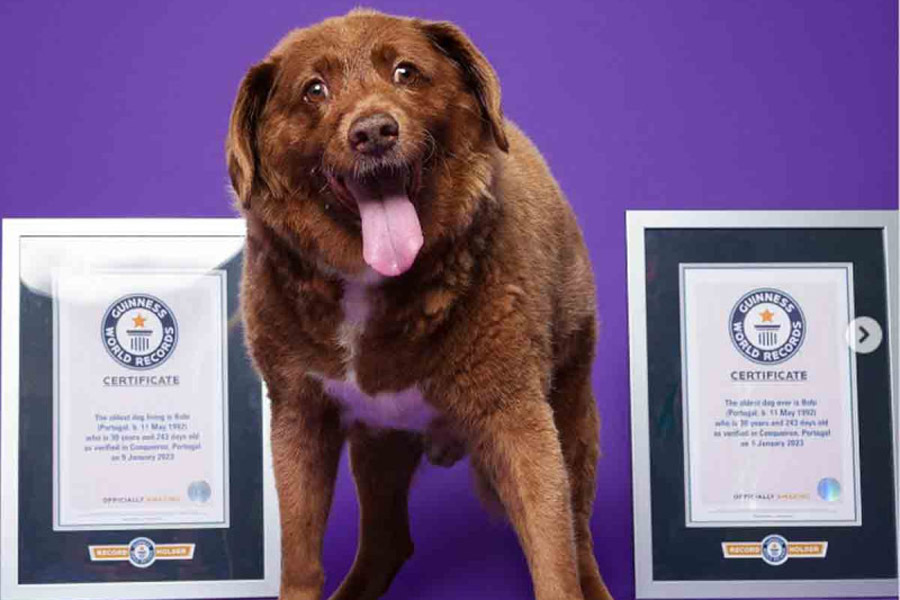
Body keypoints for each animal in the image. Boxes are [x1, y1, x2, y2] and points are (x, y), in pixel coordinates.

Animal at [227, 9, 612, 600]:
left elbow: (554, 555)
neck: (370, 281)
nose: (373, 131)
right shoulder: (299, 414)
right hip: (378, 444)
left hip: (572, 406)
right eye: (314, 89)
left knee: (580, 534)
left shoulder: (517, 416)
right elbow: (300, 559)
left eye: (406, 72)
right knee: (388, 541)